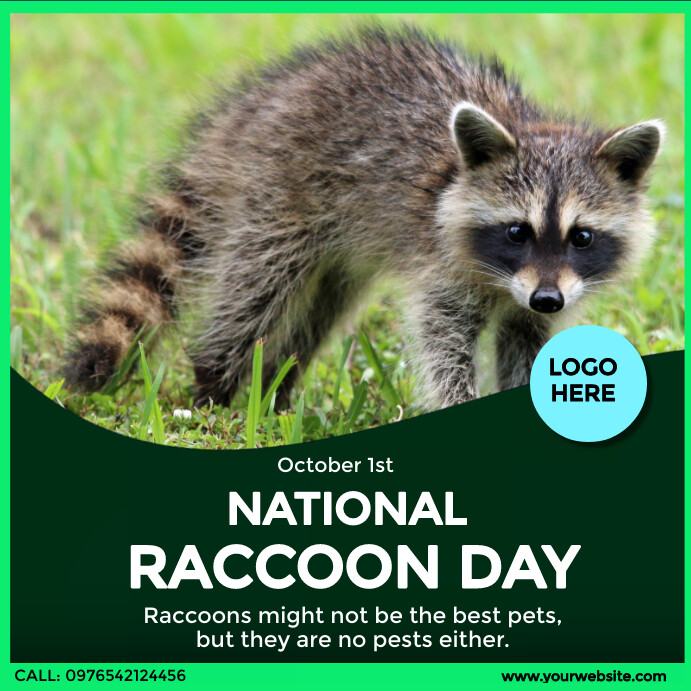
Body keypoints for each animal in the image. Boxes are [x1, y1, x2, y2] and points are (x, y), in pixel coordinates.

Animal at [64, 27, 664, 410]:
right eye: (517, 232)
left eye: (581, 237)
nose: (547, 298)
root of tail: (256, 105)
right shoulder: (443, 268)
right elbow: (442, 343)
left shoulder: (539, 299)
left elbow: (526, 344)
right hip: (279, 192)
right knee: (256, 289)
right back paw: (214, 383)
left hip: (339, 245)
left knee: (321, 309)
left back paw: (276, 388)